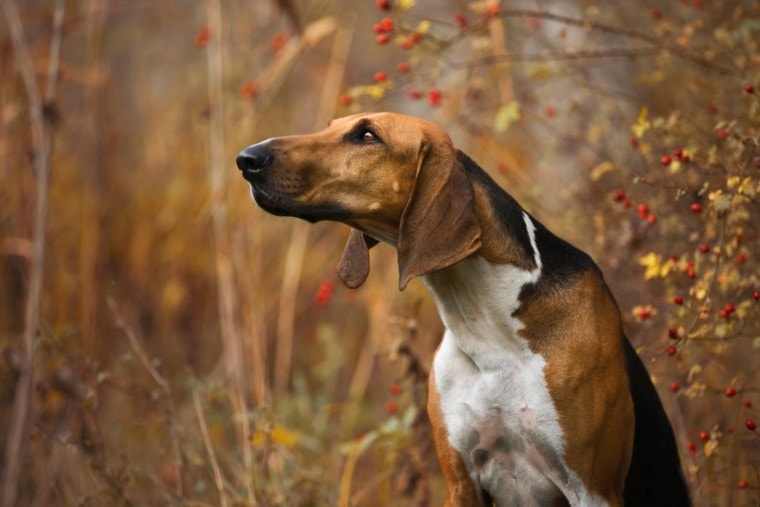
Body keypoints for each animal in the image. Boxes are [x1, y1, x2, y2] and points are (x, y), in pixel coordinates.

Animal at [236, 113, 688, 506]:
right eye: (331, 126)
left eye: (367, 136)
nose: (247, 159)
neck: (488, 329)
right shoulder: (461, 482)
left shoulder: (592, 489)